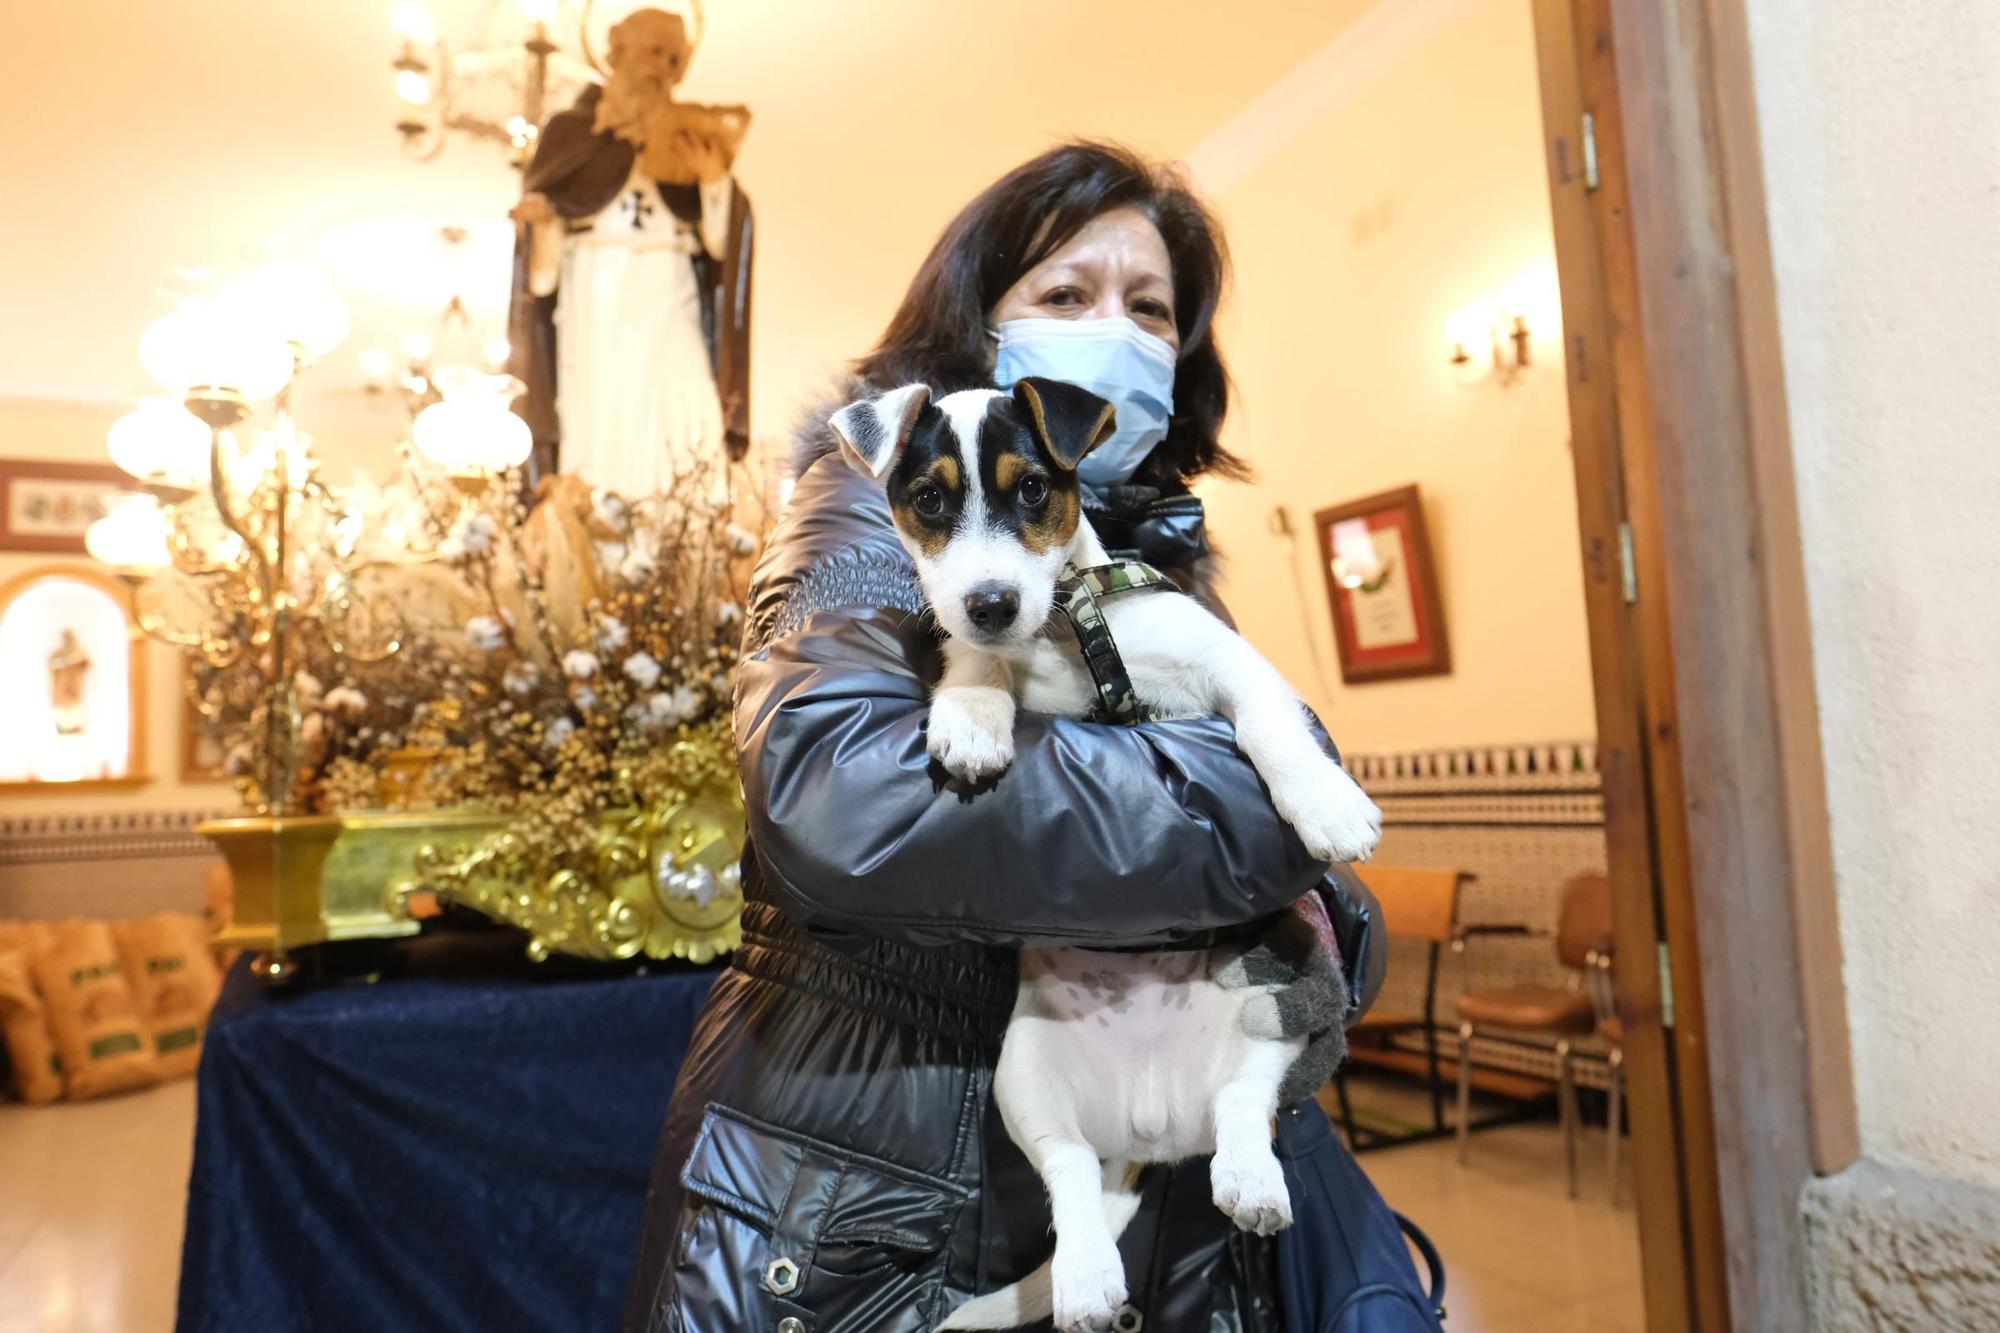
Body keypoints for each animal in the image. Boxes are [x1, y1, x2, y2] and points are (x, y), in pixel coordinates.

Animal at [828, 376, 1376, 1328]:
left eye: (1033, 490)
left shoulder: (1230, 667)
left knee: (1244, 1102)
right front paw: (972, 712)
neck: (1063, 628)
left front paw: (1324, 801)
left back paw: (1250, 1179)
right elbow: (972, 664)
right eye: (928, 499)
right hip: (1023, 1075)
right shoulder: (987, 649)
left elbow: (1271, 726)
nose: (992, 601)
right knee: (1071, 1171)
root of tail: (1153, 1127)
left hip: (1273, 1017)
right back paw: (1086, 1277)